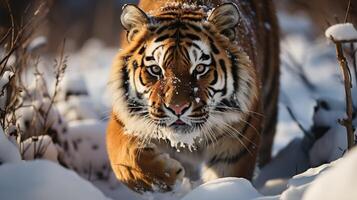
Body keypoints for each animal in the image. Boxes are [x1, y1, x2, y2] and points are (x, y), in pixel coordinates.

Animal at [105, 0, 278, 192]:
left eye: (200, 68)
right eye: (156, 69)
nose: (177, 108)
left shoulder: (234, 150)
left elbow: (229, 181)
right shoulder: (124, 121)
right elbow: (127, 158)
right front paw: (166, 176)